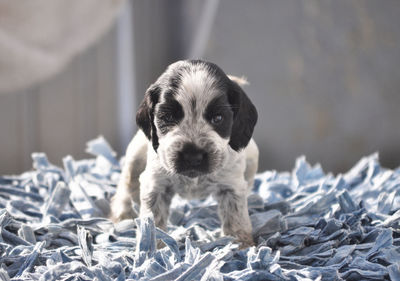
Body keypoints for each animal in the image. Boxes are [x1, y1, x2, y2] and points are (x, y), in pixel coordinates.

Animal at [110, 59, 260, 245]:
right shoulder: (155, 185)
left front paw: (240, 246)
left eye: (218, 118)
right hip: (135, 155)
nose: (192, 156)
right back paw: (122, 212)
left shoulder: (232, 186)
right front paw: (154, 248)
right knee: (127, 182)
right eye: (168, 117)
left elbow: (236, 217)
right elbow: (153, 221)